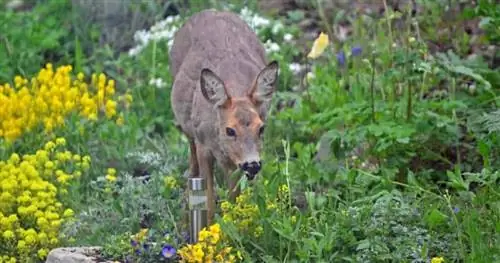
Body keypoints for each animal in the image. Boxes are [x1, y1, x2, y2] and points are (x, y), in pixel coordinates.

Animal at [170, 9, 280, 223]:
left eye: (261, 128)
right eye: (230, 130)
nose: (252, 165)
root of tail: (209, 10)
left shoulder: (234, 161)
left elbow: (233, 197)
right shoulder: (204, 146)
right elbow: (208, 198)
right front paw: (208, 227)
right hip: (187, 124)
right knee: (191, 150)